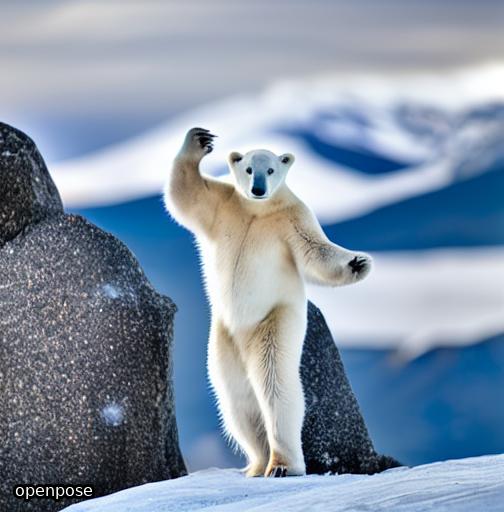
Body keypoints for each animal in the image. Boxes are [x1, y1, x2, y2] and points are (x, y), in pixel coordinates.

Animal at [163, 127, 372, 476]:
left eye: (271, 169)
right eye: (249, 168)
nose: (258, 189)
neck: (257, 212)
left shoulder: (294, 221)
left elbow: (316, 251)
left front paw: (358, 263)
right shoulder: (224, 205)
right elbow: (187, 196)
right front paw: (200, 140)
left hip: (272, 322)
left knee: (273, 383)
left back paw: (281, 464)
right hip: (223, 339)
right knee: (234, 395)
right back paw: (256, 463)